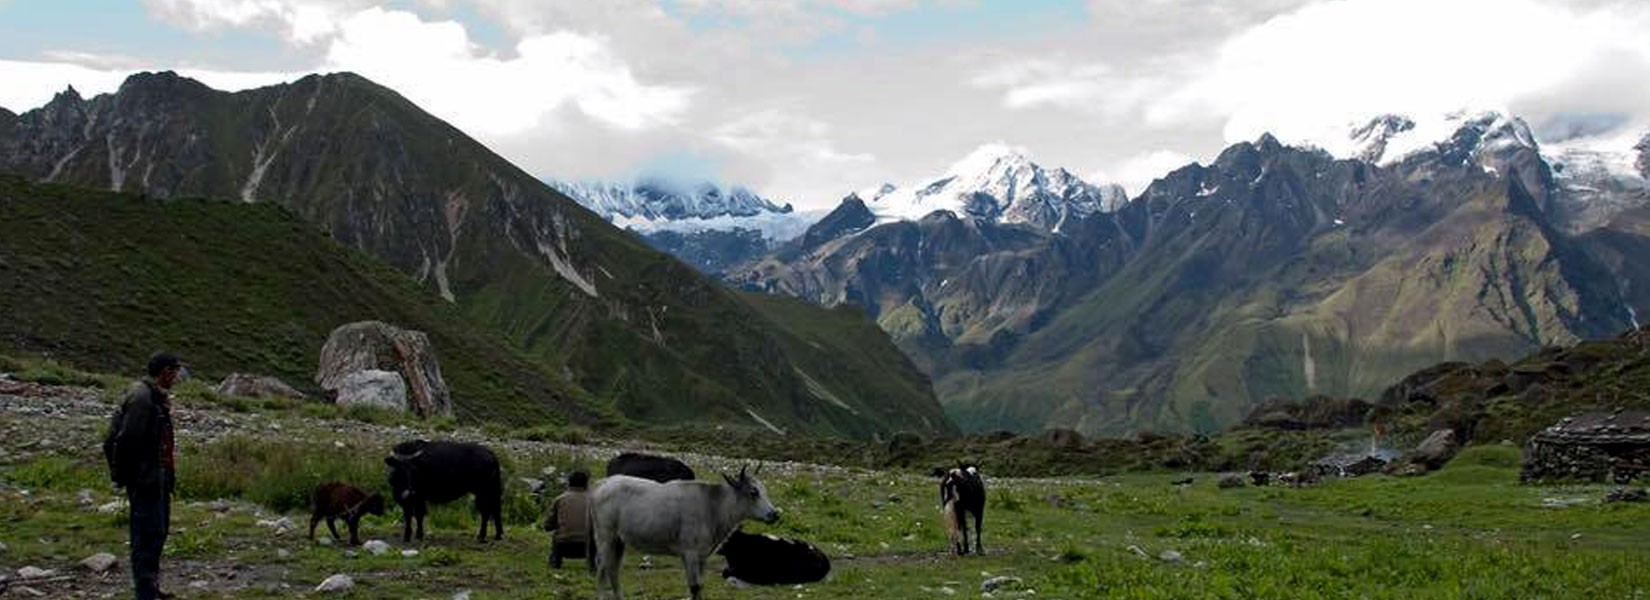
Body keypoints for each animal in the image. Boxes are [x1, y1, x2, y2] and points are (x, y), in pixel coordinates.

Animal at [587, 468, 778, 600]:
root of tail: (602, 483)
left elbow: (699, 585)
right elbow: (694, 586)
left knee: (613, 569)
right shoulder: (690, 552)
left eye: (764, 490)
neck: (712, 506)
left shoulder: (702, 556)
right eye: (753, 492)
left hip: (618, 540)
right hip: (605, 536)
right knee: (602, 568)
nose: (775, 514)